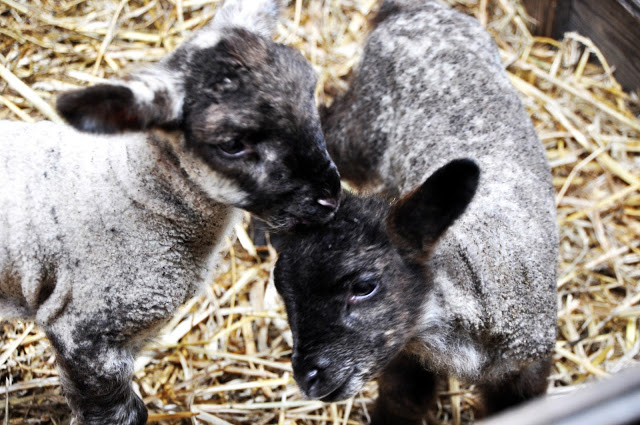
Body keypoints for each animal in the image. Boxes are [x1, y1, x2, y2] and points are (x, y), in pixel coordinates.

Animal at [276, 0, 560, 422]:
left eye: (364, 285)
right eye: (282, 290)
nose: (308, 377)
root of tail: (416, 8)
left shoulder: (525, 370)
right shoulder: (406, 359)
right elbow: (399, 404)